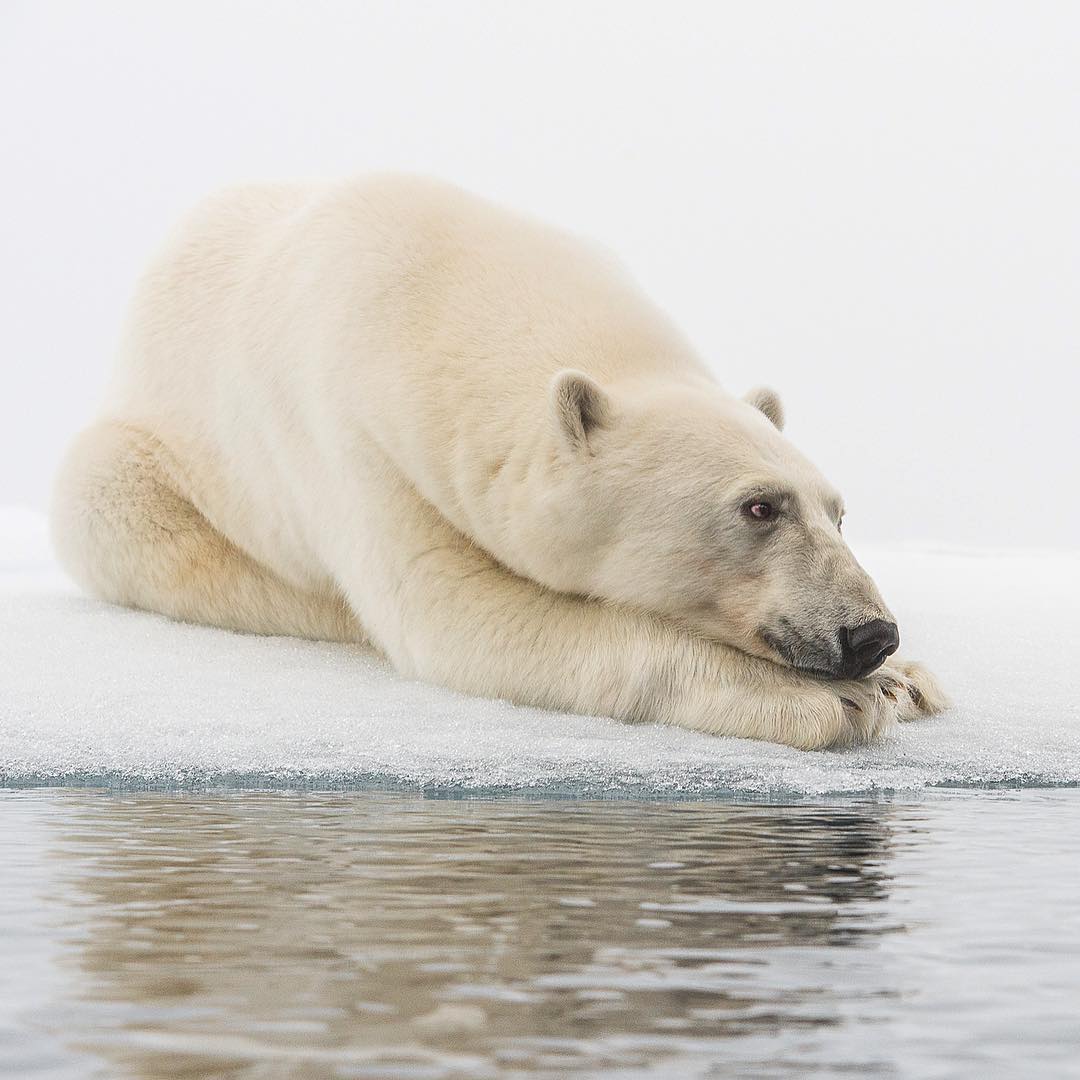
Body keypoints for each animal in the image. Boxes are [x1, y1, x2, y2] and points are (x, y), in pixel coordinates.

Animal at [52, 177, 946, 751]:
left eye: (838, 511)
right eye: (759, 507)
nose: (871, 634)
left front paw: (912, 681)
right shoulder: (352, 432)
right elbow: (463, 616)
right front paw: (837, 699)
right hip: (142, 466)